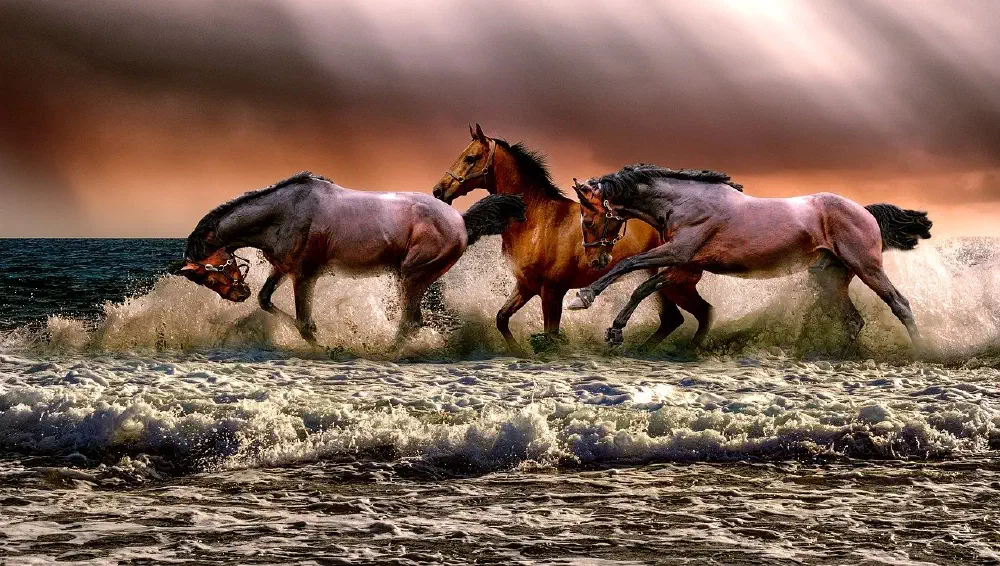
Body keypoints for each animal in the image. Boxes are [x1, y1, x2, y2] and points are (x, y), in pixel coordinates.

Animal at [178, 171, 526, 344]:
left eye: (211, 269)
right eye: (203, 279)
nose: (238, 295)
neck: (284, 213)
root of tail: (461, 221)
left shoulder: (305, 275)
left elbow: (305, 324)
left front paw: (326, 346)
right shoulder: (284, 268)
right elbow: (266, 300)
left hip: (412, 276)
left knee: (410, 321)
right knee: (412, 321)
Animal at [432, 124, 715, 354]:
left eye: (470, 158)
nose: (438, 190)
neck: (538, 221)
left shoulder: (552, 291)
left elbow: (550, 336)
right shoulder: (526, 286)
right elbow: (501, 318)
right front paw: (518, 351)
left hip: (674, 284)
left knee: (699, 314)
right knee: (675, 319)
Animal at [567, 164, 933, 349]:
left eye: (587, 220)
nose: (595, 261)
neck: (683, 202)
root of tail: (864, 211)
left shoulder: (678, 253)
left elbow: (628, 266)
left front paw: (582, 298)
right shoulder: (683, 265)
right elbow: (643, 288)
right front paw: (615, 332)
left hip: (867, 267)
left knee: (900, 304)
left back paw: (923, 351)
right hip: (830, 277)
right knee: (853, 320)